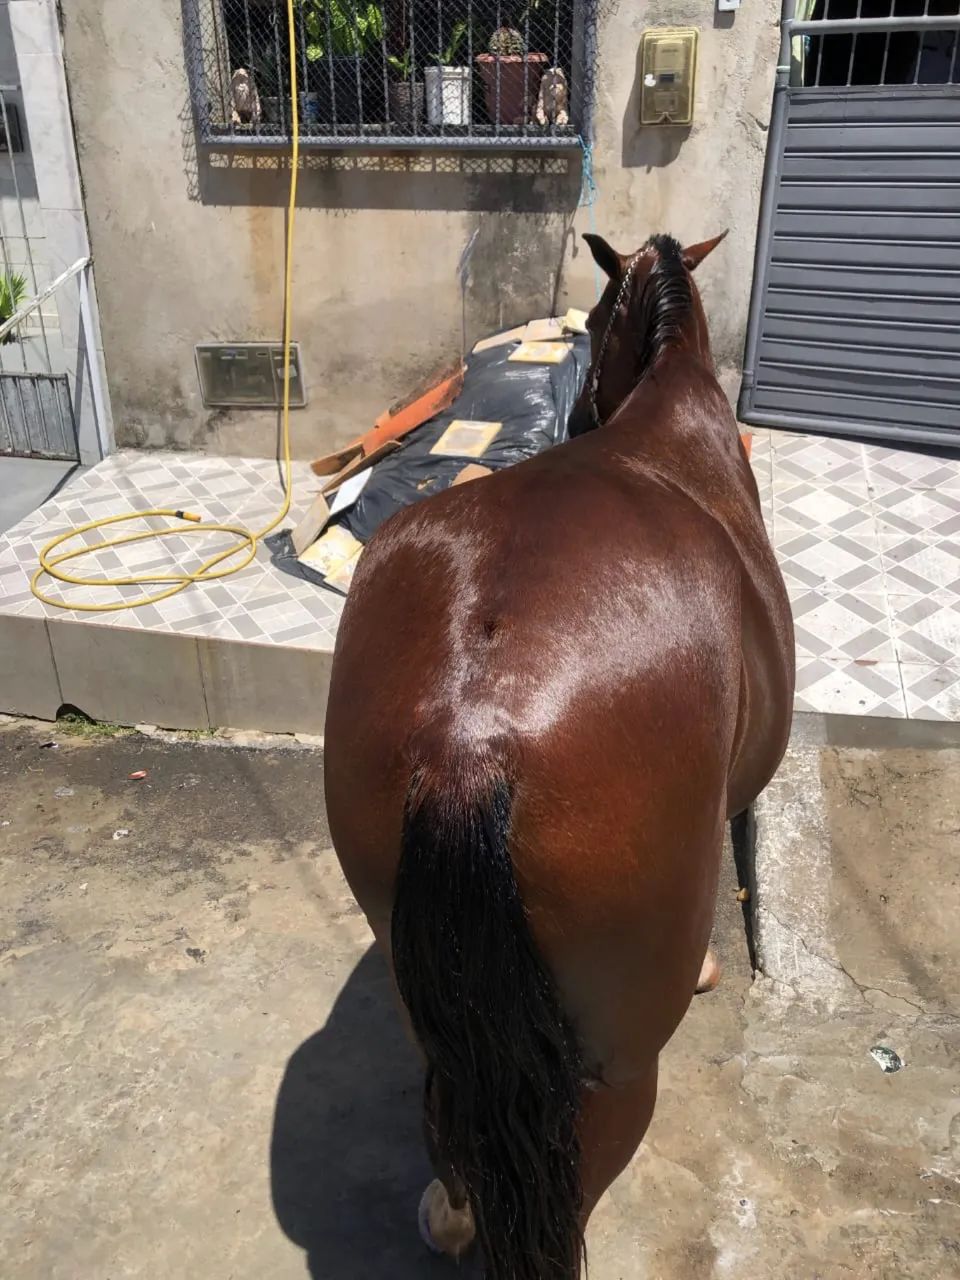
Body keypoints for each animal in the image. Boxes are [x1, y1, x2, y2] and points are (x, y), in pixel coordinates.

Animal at [323, 230, 795, 1278]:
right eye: (601, 314)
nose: (578, 410)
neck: (672, 401)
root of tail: (471, 734)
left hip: (442, 1009)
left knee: (451, 1120)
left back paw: (450, 1215)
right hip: (616, 1064)